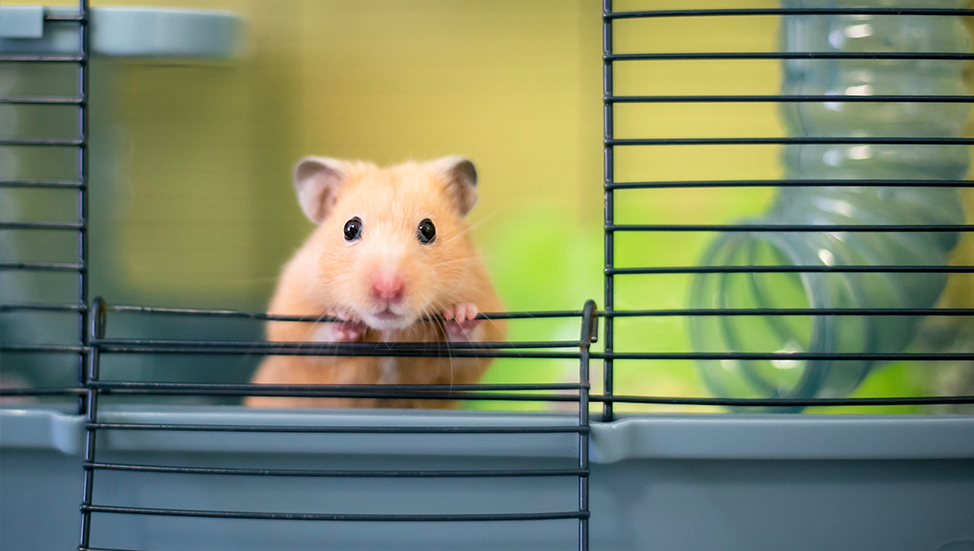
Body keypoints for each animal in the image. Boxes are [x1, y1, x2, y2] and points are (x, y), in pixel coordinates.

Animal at [245, 156, 506, 408]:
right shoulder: (292, 315)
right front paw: (345, 319)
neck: (388, 331)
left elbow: (469, 344)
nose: (387, 290)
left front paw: (460, 314)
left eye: (428, 229)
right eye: (350, 228)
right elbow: (313, 339)